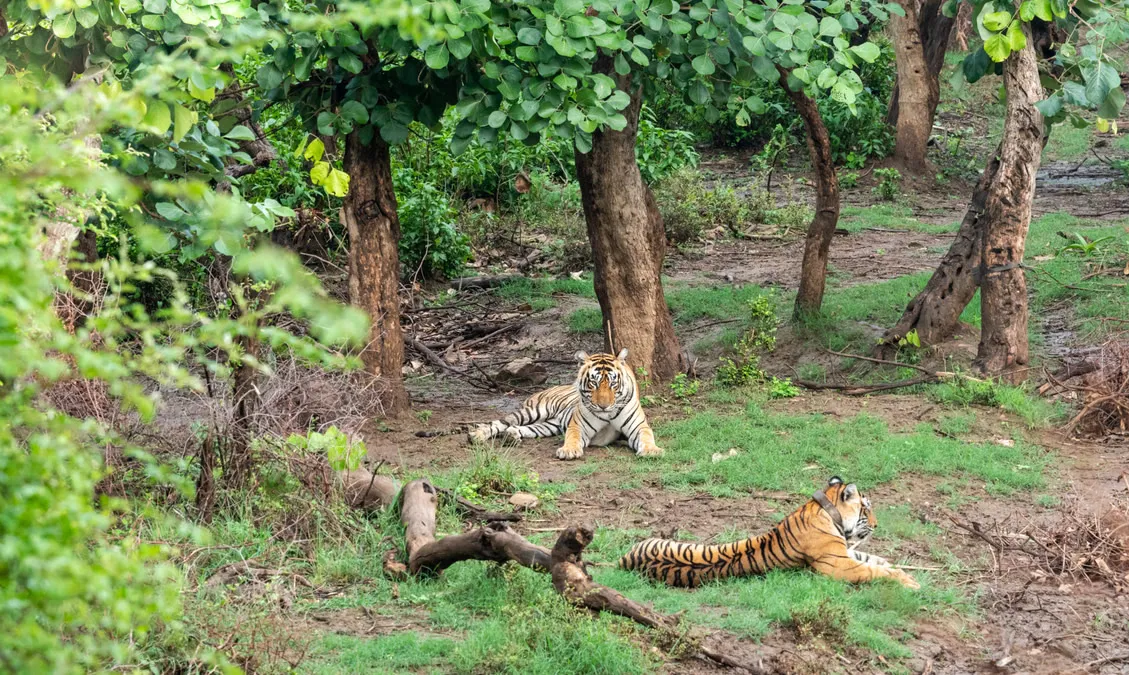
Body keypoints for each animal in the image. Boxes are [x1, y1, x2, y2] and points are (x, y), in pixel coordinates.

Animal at [459, 349, 662, 461]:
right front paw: (569, 450)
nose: (603, 406)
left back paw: (511, 436)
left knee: (522, 428)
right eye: (593, 383)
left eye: (613, 383)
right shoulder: (578, 425)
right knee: (500, 423)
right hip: (533, 411)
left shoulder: (639, 426)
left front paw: (652, 450)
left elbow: (646, 436)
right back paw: (477, 435)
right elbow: (572, 437)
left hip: (550, 425)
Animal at [618, 477, 919, 589]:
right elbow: (874, 570)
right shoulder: (840, 565)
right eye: (866, 509)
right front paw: (909, 581)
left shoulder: (846, 553)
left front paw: (901, 568)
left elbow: (875, 560)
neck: (823, 509)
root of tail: (625, 560)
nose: (877, 525)